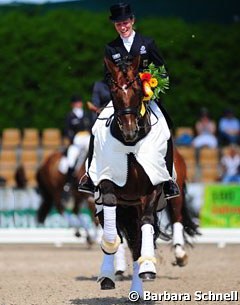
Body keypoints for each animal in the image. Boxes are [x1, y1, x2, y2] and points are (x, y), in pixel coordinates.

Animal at [91, 57, 198, 294]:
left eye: (139, 89)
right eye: (113, 89)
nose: (129, 130)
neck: (130, 146)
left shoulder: (153, 188)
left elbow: (146, 226)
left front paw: (148, 266)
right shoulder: (108, 181)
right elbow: (115, 229)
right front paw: (110, 249)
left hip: (168, 196)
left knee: (171, 219)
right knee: (123, 233)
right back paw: (109, 275)